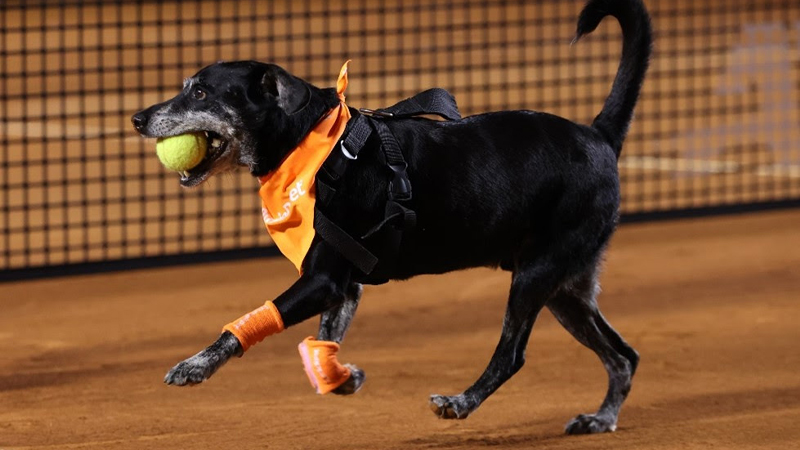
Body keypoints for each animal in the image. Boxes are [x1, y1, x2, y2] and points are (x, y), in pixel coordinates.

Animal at [133, 0, 648, 436]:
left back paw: (461, 402)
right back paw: (602, 419)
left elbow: (245, 325)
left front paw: (195, 365)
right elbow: (322, 346)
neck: (312, 145)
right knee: (623, 356)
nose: (137, 119)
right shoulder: (345, 286)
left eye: (201, 91)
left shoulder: (322, 280)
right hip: (566, 290)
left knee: (513, 355)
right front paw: (342, 377)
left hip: (537, 276)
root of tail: (599, 136)